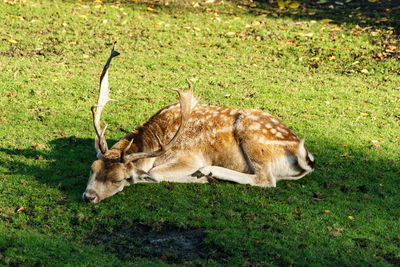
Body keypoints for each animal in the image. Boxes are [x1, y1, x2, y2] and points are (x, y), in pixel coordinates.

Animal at [83, 44, 316, 204]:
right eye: (92, 169)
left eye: (118, 179)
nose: (89, 196)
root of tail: (305, 157)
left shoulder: (189, 157)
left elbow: (154, 174)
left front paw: (200, 178)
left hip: (252, 137)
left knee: (265, 179)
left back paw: (208, 172)